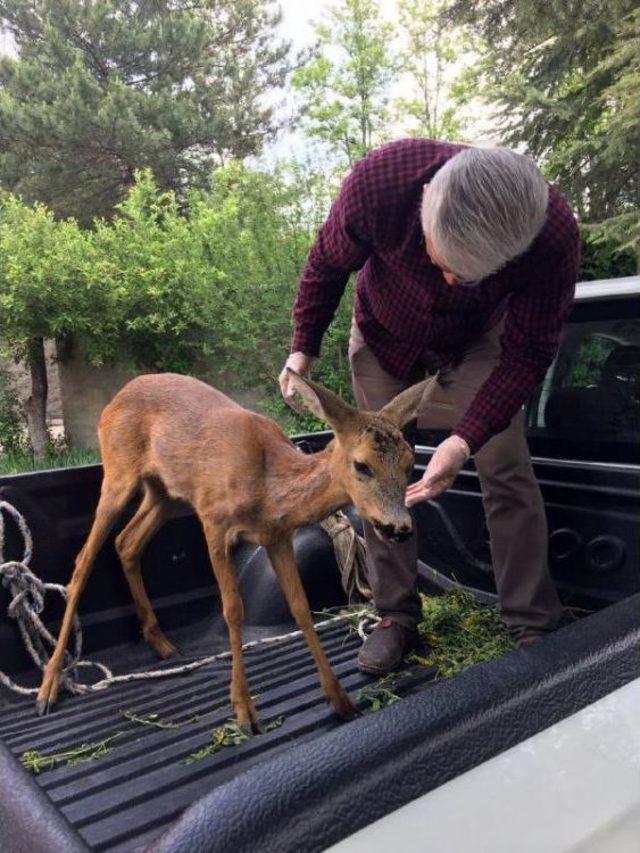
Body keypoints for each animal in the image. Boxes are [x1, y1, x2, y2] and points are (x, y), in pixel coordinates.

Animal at [37, 370, 432, 728]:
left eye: (410, 462)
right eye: (362, 464)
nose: (400, 528)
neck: (269, 486)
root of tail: (115, 398)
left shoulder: (277, 536)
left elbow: (301, 608)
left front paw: (339, 699)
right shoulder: (214, 520)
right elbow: (233, 610)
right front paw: (243, 709)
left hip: (165, 492)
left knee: (127, 542)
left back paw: (161, 643)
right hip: (119, 472)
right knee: (83, 560)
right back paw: (49, 685)